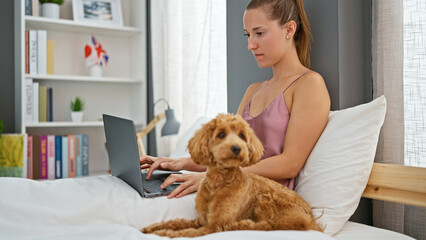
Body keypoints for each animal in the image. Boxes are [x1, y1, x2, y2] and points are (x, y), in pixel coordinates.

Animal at [141, 113, 322, 237]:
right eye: (221, 134)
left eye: (242, 135)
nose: (237, 148)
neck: (219, 182)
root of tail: (309, 218)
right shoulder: (201, 220)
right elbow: (176, 222)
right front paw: (152, 228)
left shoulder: (213, 226)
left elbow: (183, 233)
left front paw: (162, 233)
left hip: (266, 198)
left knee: (268, 226)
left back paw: (242, 225)